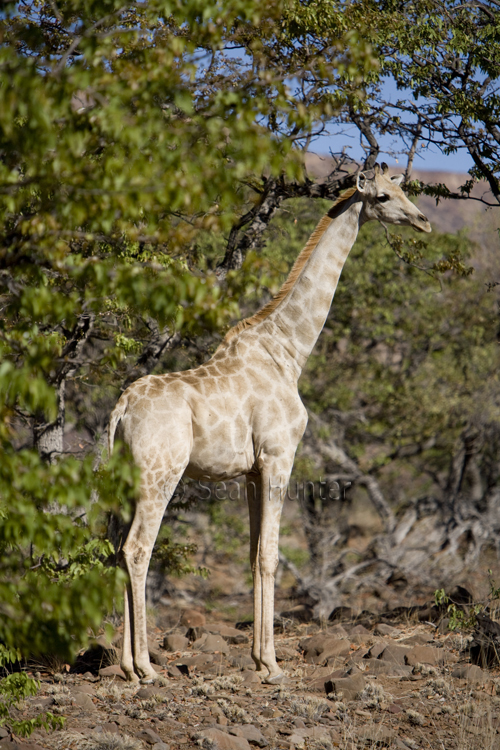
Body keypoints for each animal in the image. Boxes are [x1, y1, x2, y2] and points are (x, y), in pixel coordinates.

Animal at [108, 162, 431, 684]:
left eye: (402, 189)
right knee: (138, 549)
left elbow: (254, 552)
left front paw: (259, 659)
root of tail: (121, 409)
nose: (423, 221)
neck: (289, 351)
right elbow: (271, 555)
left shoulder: (251, 470)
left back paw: (125, 667)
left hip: (125, 479)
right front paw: (274, 664)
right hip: (160, 473)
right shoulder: (280, 455)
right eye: (382, 197)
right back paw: (146, 668)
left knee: (118, 548)